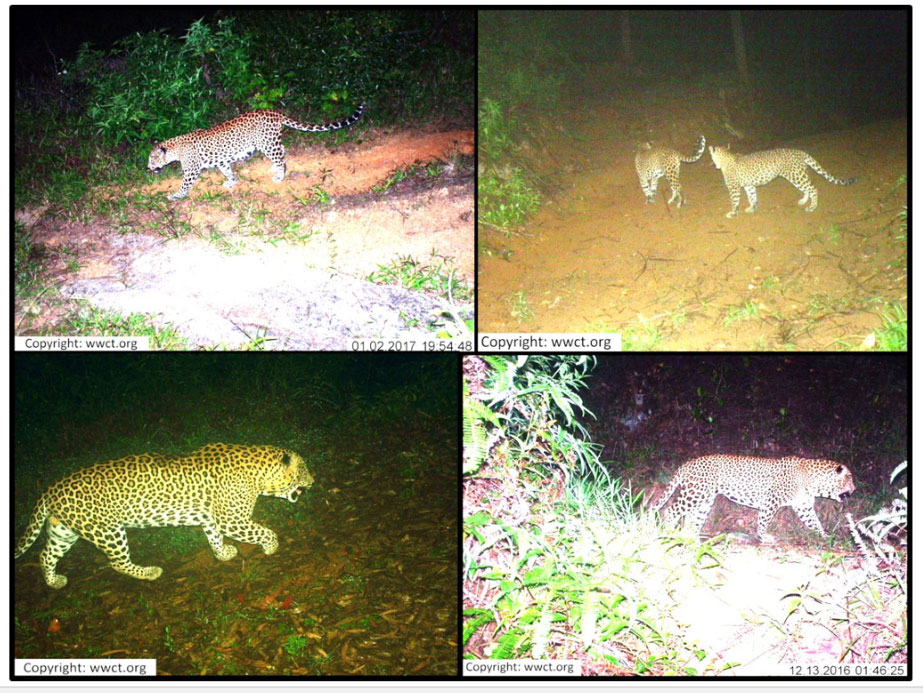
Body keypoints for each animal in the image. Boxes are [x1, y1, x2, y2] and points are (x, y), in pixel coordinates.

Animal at [14, 443, 314, 589]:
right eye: (304, 470)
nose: (313, 481)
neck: (259, 473)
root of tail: (50, 490)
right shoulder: (233, 519)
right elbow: (264, 531)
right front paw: (271, 547)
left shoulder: (211, 518)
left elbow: (214, 538)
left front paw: (223, 554)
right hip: (108, 531)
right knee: (117, 563)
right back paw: (150, 572)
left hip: (65, 530)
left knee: (45, 555)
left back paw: (54, 583)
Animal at [148, 104, 365, 200]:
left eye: (152, 159)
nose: (148, 168)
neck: (176, 149)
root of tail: (274, 111)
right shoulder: (222, 161)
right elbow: (228, 171)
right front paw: (231, 182)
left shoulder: (191, 170)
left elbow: (184, 184)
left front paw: (176, 195)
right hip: (269, 142)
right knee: (282, 151)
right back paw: (275, 170)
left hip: (267, 143)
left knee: (281, 158)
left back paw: (280, 176)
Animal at [653, 454, 855, 543]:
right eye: (850, 478)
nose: (854, 489)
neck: (813, 482)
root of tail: (688, 463)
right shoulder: (771, 500)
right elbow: (764, 520)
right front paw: (762, 536)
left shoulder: (803, 506)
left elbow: (815, 522)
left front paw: (825, 536)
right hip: (695, 495)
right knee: (670, 511)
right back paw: (669, 533)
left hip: (704, 500)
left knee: (691, 519)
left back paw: (692, 537)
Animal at [709, 145, 858, 217]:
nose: (715, 166)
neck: (726, 158)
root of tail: (799, 151)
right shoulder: (749, 185)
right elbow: (752, 196)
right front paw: (753, 208)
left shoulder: (734, 187)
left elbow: (735, 201)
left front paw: (733, 213)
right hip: (797, 176)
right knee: (807, 189)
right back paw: (804, 201)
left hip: (796, 175)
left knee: (813, 189)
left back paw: (812, 207)